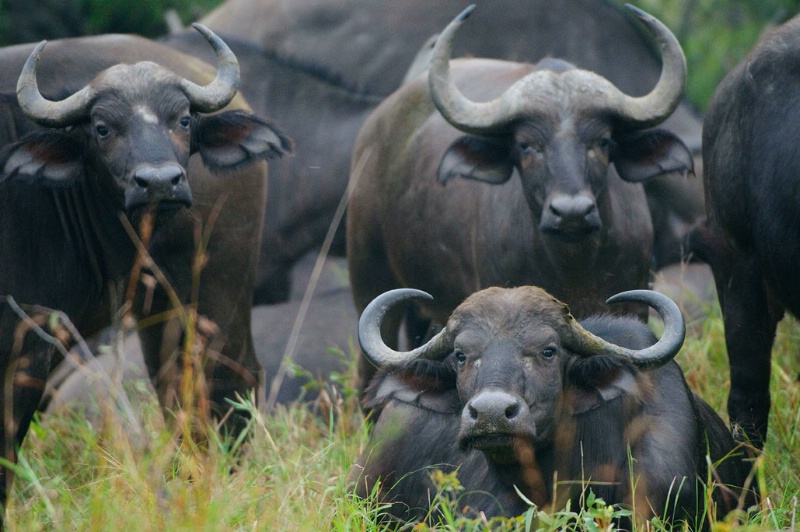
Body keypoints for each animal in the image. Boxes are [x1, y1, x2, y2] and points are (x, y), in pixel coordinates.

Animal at [0, 26, 292, 516]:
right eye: (102, 128)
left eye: (183, 120)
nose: (160, 182)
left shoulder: (27, 340)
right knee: (173, 384)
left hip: (212, 282)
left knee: (224, 377)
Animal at [346, 4, 692, 386]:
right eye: (526, 145)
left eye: (603, 142)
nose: (571, 212)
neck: (575, 264)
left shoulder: (634, 304)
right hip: (369, 279)